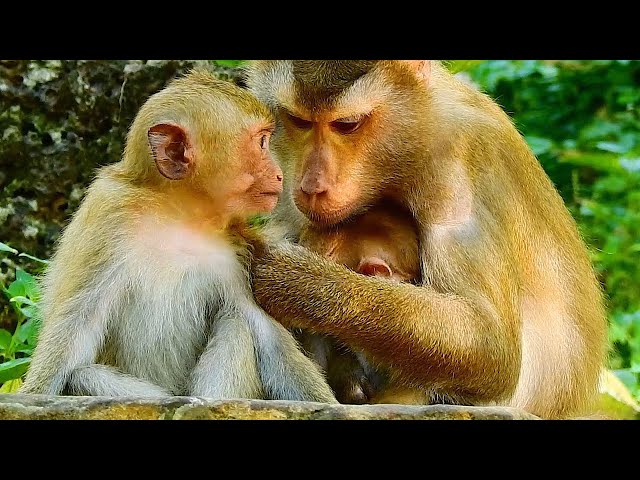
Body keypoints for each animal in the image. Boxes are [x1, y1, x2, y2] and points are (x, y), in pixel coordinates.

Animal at [19, 69, 337, 404]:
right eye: (261, 142)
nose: (279, 174)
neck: (179, 216)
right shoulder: (110, 217)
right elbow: (75, 328)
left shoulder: (237, 251)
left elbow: (267, 335)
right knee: (81, 376)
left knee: (236, 322)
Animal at [243, 60, 608, 418]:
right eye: (299, 121)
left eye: (347, 124)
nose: (312, 186)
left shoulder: (460, 160)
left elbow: (490, 348)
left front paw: (299, 282)